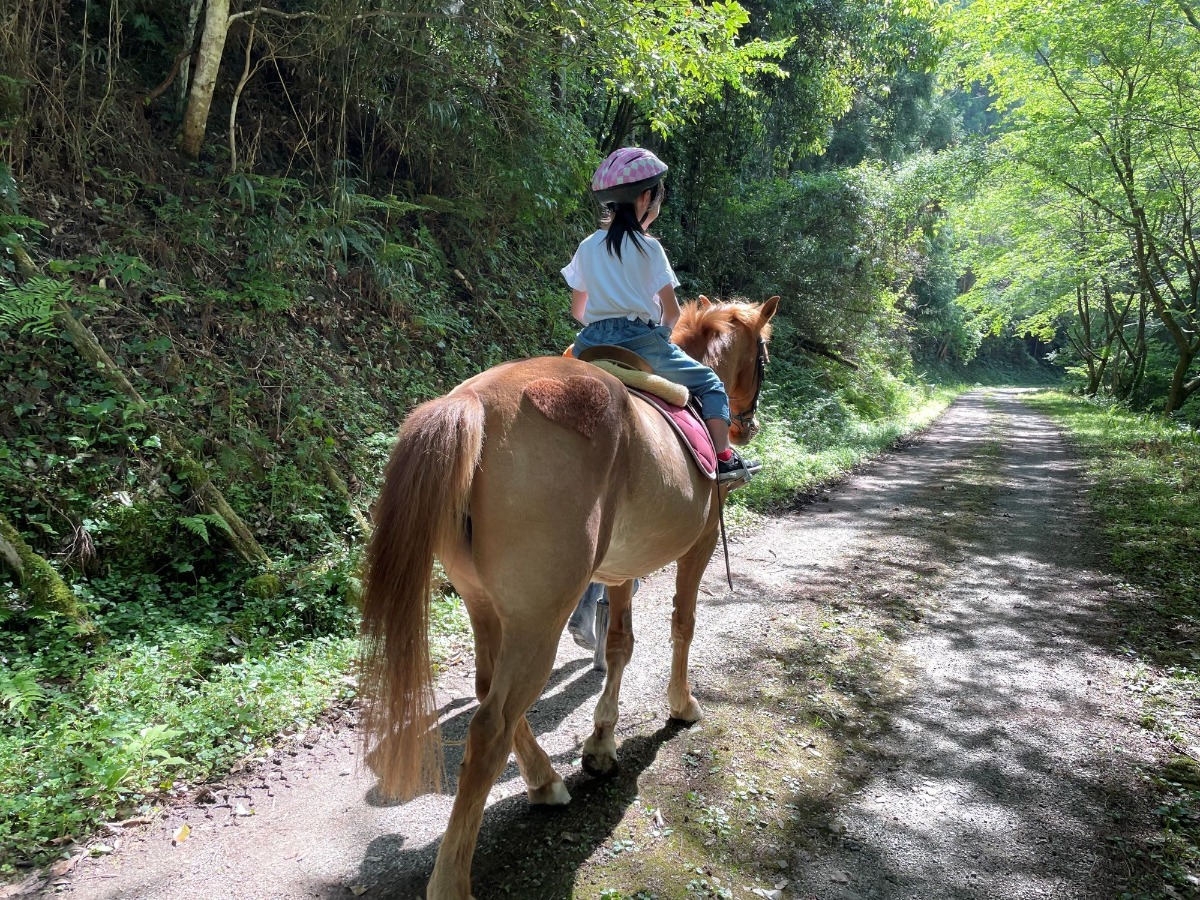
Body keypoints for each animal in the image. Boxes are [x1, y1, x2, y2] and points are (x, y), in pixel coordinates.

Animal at [360, 297, 782, 900]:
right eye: (762, 356)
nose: (747, 427)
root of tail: (471, 404)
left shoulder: (621, 567)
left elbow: (621, 645)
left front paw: (602, 743)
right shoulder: (698, 545)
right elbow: (683, 623)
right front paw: (681, 705)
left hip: (484, 605)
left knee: (488, 691)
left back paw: (545, 781)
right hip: (540, 617)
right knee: (489, 725)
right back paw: (454, 878)